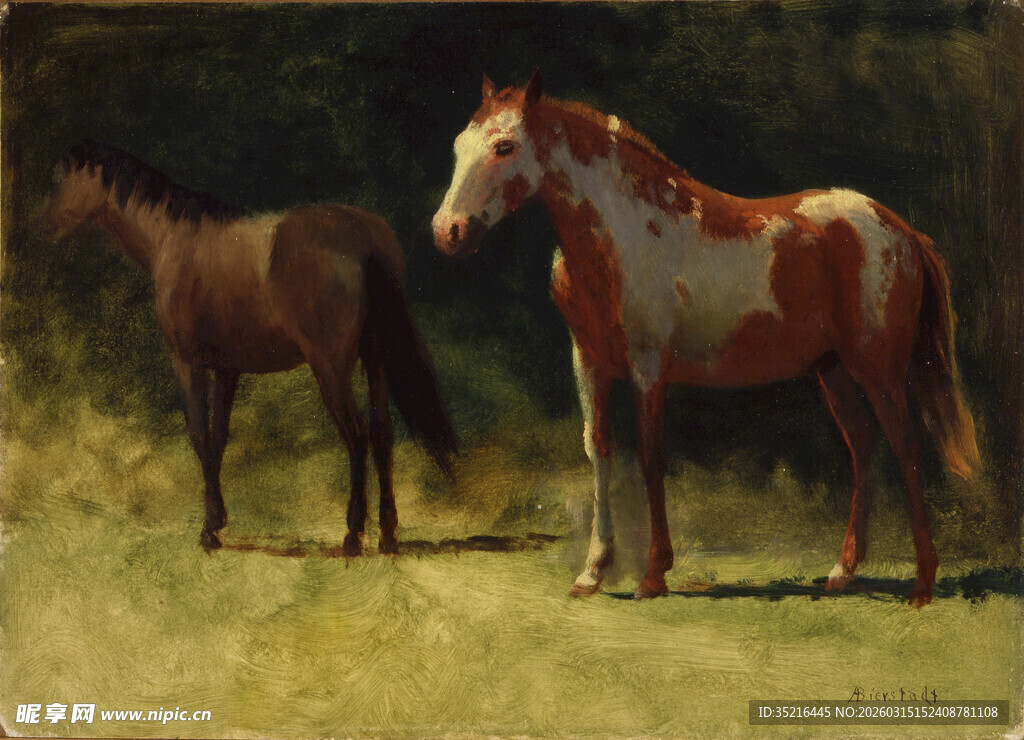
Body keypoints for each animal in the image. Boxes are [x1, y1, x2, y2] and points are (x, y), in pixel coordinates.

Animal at [44, 140, 457, 554]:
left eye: (64, 180)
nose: (47, 222)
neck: (173, 238)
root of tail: (364, 236)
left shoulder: (187, 363)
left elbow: (200, 437)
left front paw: (209, 530)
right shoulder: (228, 369)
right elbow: (218, 439)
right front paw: (218, 522)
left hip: (330, 368)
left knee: (357, 436)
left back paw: (354, 535)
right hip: (375, 359)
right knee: (383, 433)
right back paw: (388, 535)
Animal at [432, 72, 979, 606]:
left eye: (504, 146)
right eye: (457, 145)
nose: (447, 232)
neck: (620, 234)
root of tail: (901, 230)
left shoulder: (648, 368)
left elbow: (650, 457)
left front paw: (653, 575)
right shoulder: (588, 361)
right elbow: (598, 451)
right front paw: (592, 572)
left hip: (877, 368)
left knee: (905, 447)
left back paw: (923, 585)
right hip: (833, 370)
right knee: (863, 445)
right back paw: (843, 573)